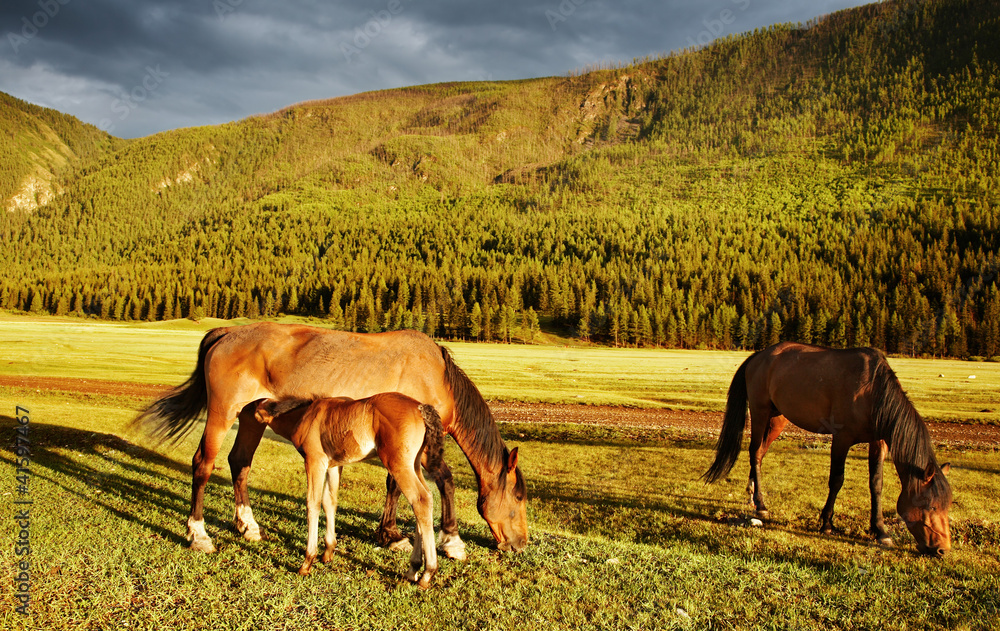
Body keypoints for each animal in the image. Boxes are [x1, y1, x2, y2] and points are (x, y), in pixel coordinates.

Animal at [136, 320, 528, 556]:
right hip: (223, 413)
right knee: (203, 464)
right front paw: (451, 539)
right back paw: (199, 533)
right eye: (519, 498)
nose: (521, 544)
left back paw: (248, 526)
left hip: (250, 417)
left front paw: (390, 534)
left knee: (240, 462)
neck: (437, 375)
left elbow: (394, 485)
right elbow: (444, 480)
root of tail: (226, 333)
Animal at [246, 396, 442, 588]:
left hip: (398, 465)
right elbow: (329, 501)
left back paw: (427, 573)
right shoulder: (333, 465)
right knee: (425, 500)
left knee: (421, 499)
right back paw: (413, 569)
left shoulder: (315, 461)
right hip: (414, 465)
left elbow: (313, 503)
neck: (304, 414)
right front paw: (328, 551)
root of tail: (420, 408)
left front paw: (307, 562)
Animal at [704, 344, 952, 556]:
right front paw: (826, 523)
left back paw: (752, 495)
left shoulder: (878, 442)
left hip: (778, 418)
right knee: (755, 453)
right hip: (760, 411)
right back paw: (761, 504)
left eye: (947, 506)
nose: (943, 549)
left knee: (762, 453)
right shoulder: (842, 438)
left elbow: (876, 484)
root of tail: (759, 355)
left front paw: (880, 531)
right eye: (930, 505)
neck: (872, 391)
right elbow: (837, 480)